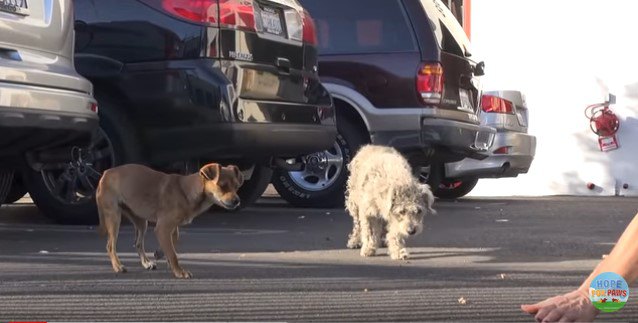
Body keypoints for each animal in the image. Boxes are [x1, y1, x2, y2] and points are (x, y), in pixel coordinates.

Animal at [95, 163, 245, 280]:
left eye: (237, 187)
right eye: (222, 186)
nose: (237, 201)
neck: (186, 191)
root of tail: (105, 173)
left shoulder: (171, 227)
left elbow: (174, 240)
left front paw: (161, 253)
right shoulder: (163, 228)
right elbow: (173, 254)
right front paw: (179, 272)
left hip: (141, 222)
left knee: (138, 243)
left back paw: (146, 263)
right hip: (114, 217)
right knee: (110, 246)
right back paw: (118, 266)